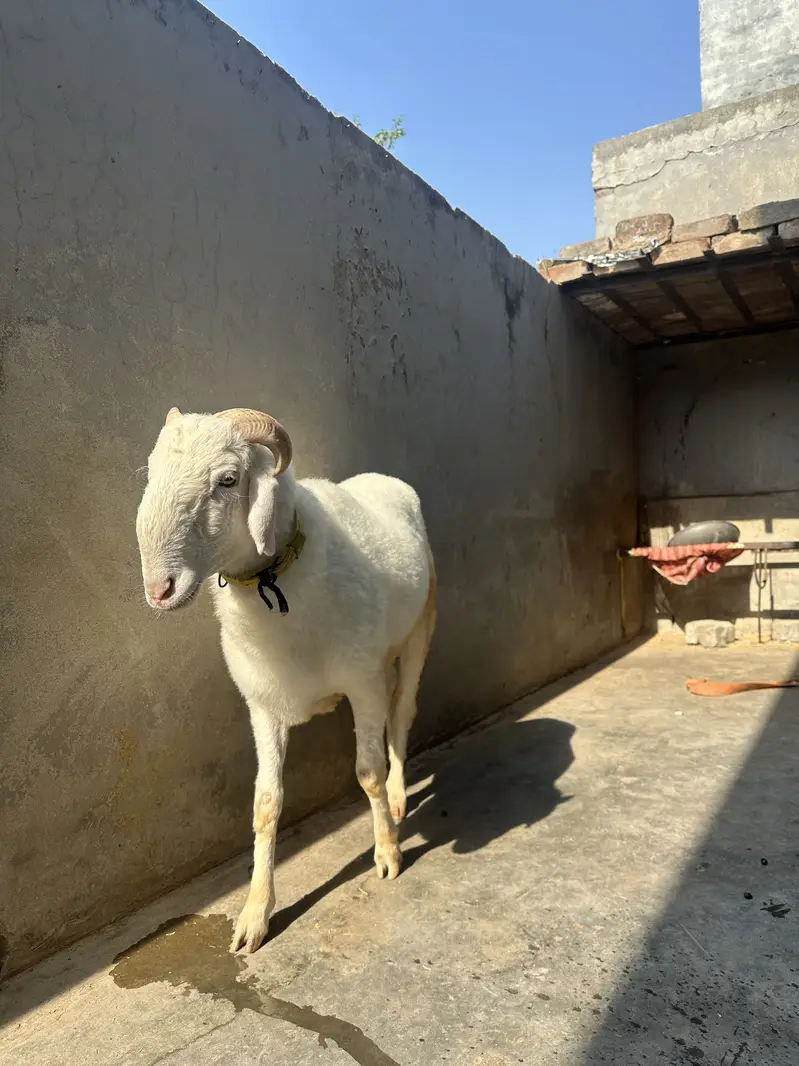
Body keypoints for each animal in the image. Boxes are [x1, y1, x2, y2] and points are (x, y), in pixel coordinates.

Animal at [135, 406, 436, 953]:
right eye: (151, 473)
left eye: (228, 480)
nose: (159, 589)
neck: (275, 578)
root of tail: (381, 478)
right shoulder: (262, 705)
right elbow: (266, 805)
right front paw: (255, 914)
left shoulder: (361, 683)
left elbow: (368, 772)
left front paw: (387, 852)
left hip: (419, 629)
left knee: (402, 715)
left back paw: (399, 799)